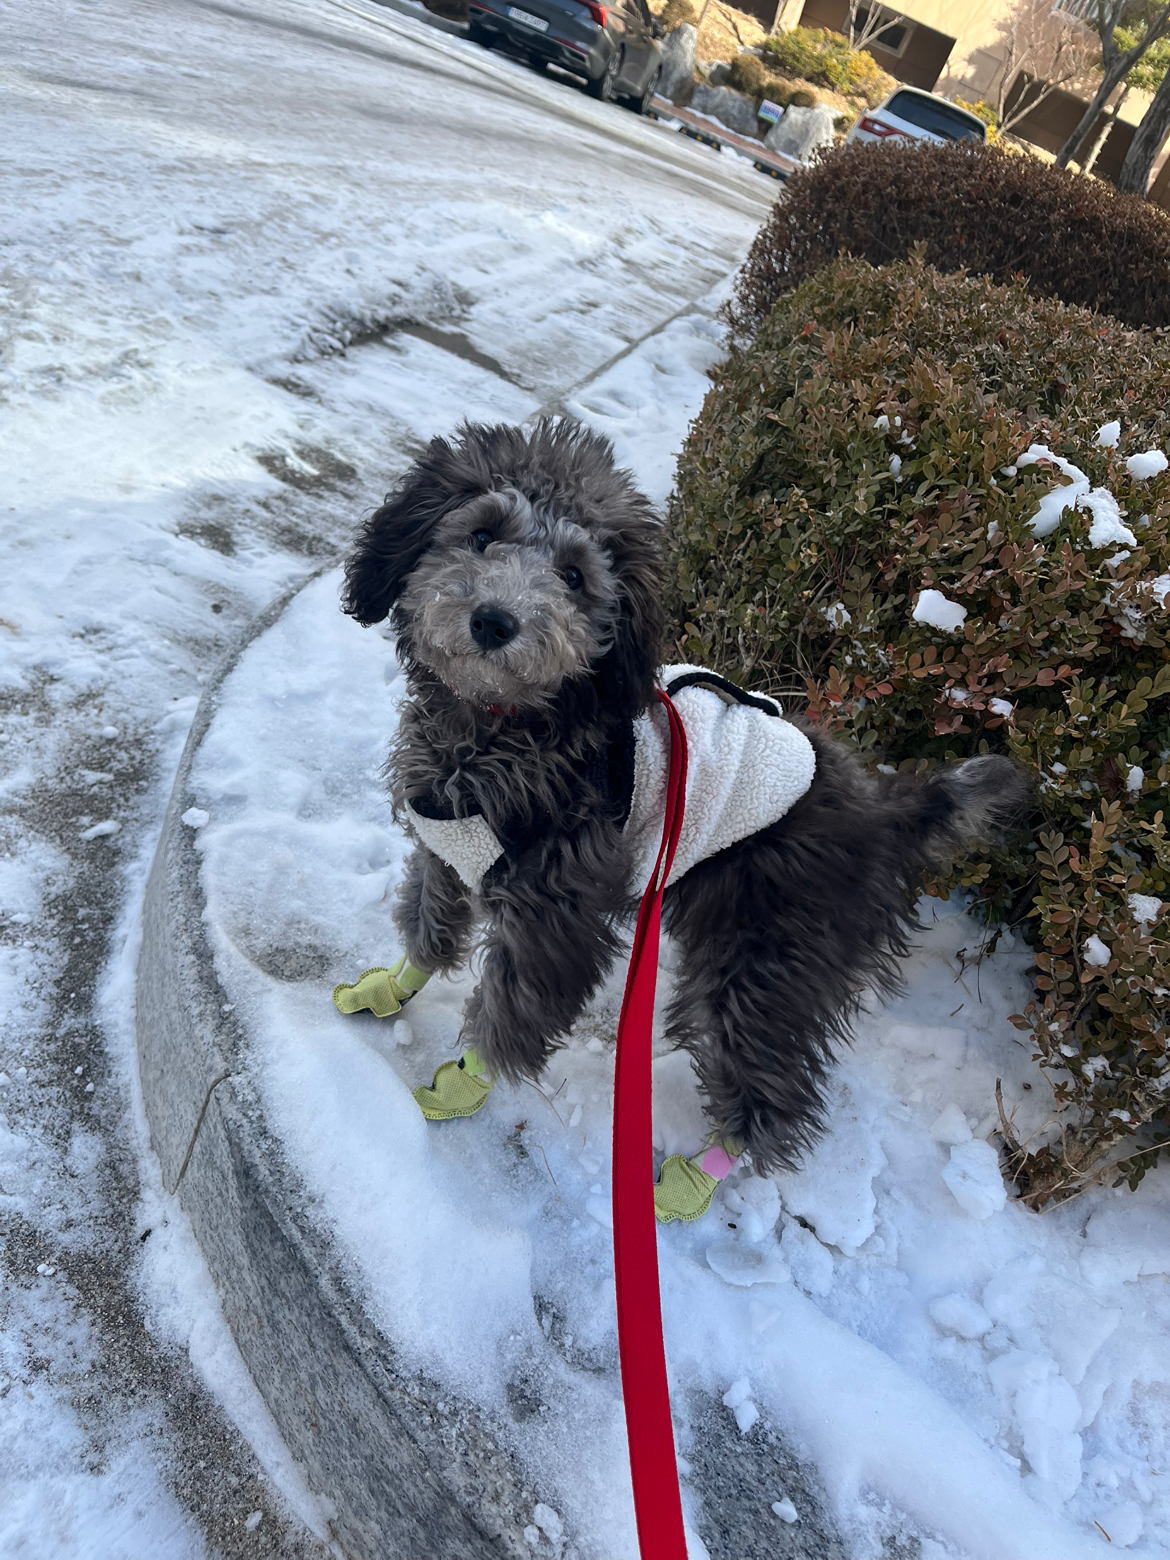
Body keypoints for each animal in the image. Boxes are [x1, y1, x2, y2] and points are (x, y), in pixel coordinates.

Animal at [343, 414, 1029, 1173]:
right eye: (482, 534)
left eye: (574, 577)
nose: (495, 622)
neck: (502, 729)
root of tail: (884, 809)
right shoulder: (446, 850)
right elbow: (428, 928)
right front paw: (387, 988)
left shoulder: (556, 911)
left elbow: (515, 1015)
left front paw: (460, 1088)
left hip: (772, 957)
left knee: (769, 1092)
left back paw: (697, 1177)